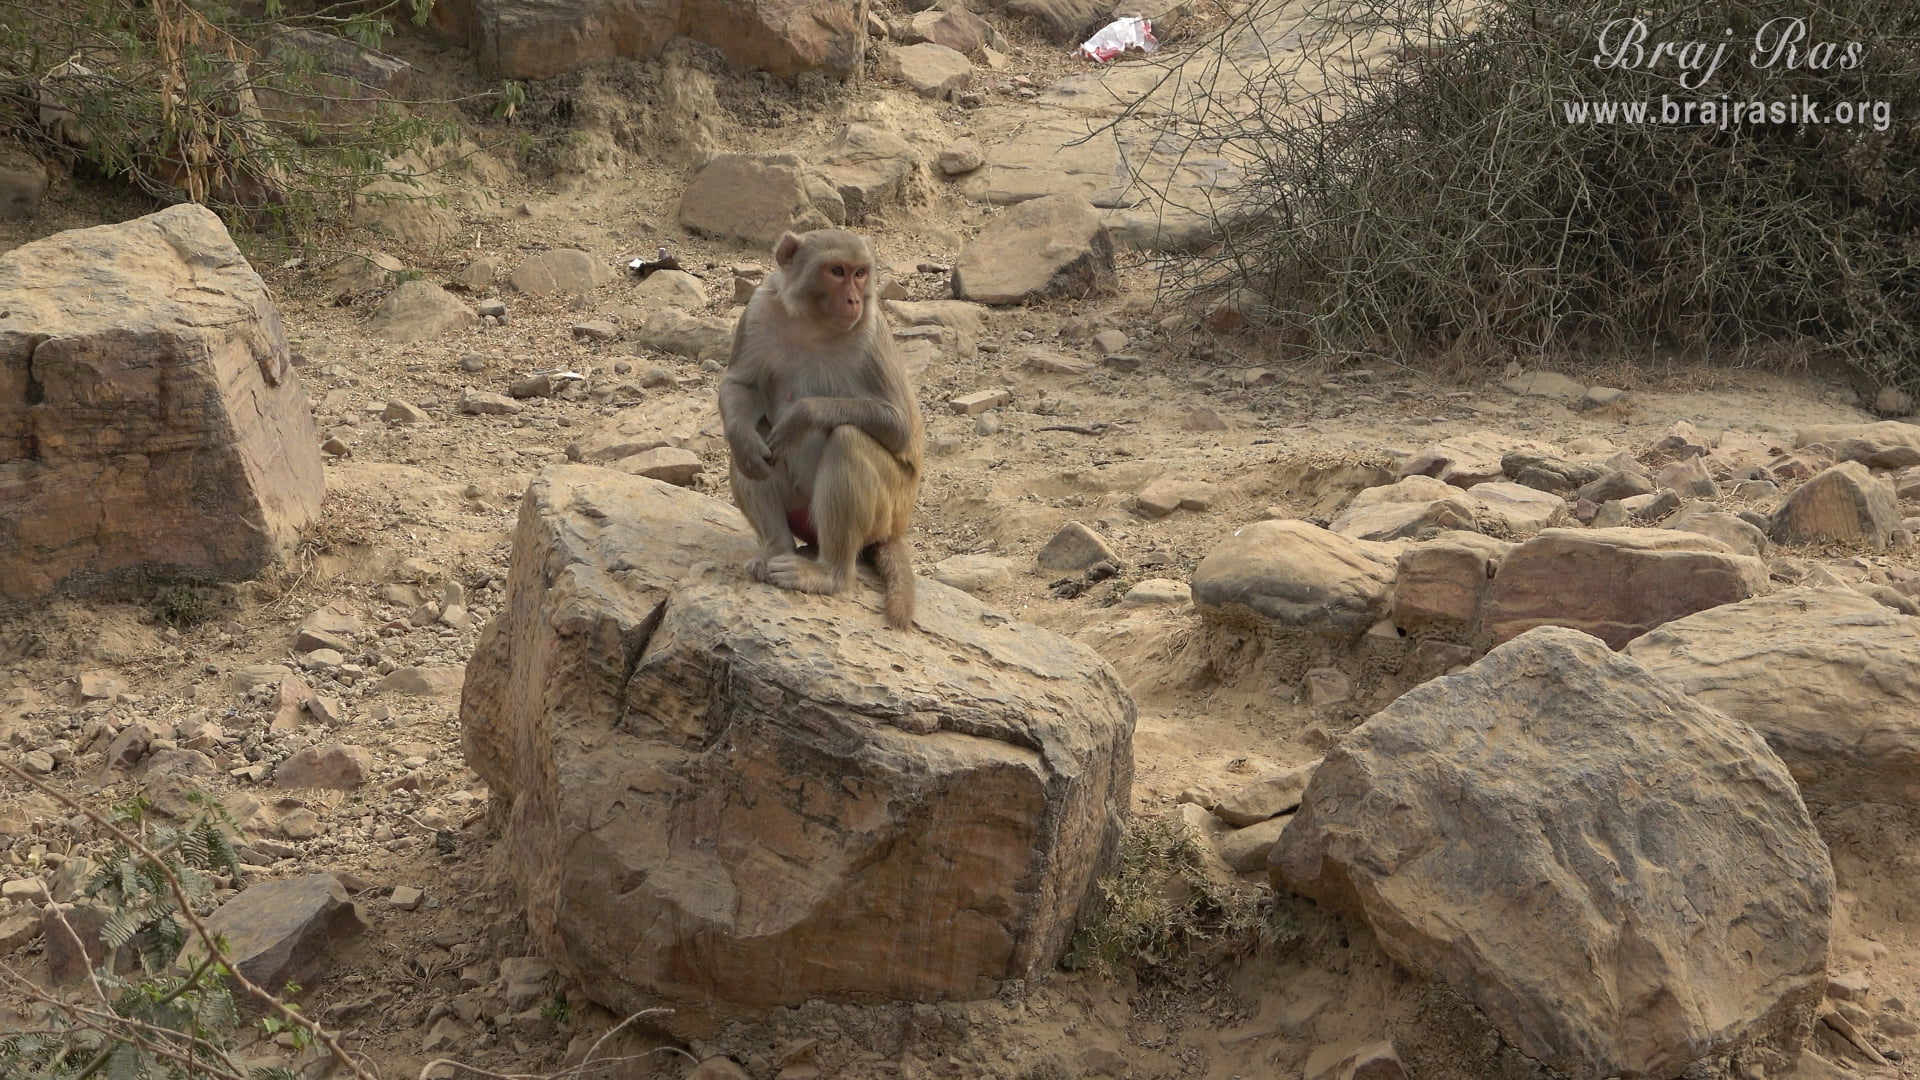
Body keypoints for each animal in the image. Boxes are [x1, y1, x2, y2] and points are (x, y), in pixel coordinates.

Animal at [718, 228, 926, 630]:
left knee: (848, 439)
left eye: (860, 272)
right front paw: (748, 444)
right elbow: (741, 388)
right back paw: (776, 551)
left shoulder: (872, 331)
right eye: (836, 271)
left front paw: (802, 416)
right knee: (753, 436)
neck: (812, 323)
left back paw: (829, 574)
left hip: (888, 510)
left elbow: (899, 425)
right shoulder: (759, 310)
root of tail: (897, 528)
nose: (853, 299)